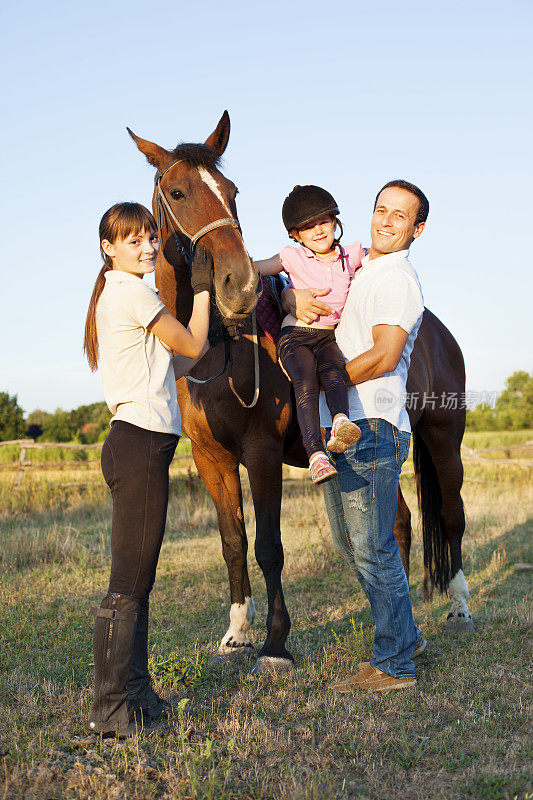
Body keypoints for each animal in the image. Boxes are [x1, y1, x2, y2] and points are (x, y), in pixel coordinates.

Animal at [128, 111, 474, 676]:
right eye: (177, 192)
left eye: (232, 191)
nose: (240, 284)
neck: (220, 347)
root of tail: (439, 332)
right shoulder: (211, 459)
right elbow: (232, 541)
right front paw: (236, 636)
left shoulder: (262, 453)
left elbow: (269, 547)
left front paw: (275, 644)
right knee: (397, 525)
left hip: (445, 439)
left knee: (450, 516)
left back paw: (461, 609)